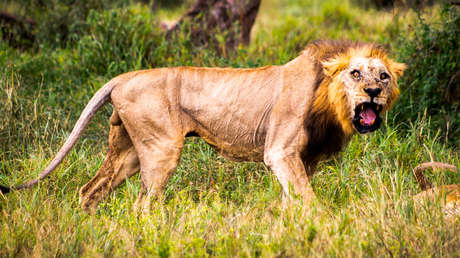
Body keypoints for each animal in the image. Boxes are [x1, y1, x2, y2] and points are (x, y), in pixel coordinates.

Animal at [0, 40, 404, 213]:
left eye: (383, 76)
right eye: (355, 73)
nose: (373, 92)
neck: (330, 102)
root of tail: (122, 77)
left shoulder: (303, 159)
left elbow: (295, 197)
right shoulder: (279, 151)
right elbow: (308, 198)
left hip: (127, 150)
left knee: (90, 190)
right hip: (161, 149)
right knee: (142, 204)